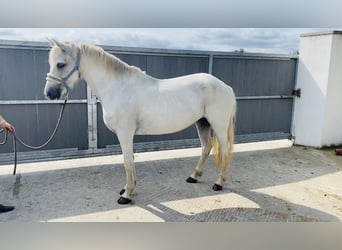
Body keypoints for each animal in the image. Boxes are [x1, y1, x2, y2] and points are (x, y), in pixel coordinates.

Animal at [44, 40, 236, 205]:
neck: (118, 88)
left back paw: (219, 183)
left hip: (218, 125)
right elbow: (131, 160)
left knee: (225, 150)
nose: (49, 93)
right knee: (206, 147)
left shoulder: (125, 132)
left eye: (60, 64)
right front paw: (128, 189)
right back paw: (194, 176)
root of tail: (225, 86)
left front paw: (127, 195)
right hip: (202, 123)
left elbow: (127, 160)